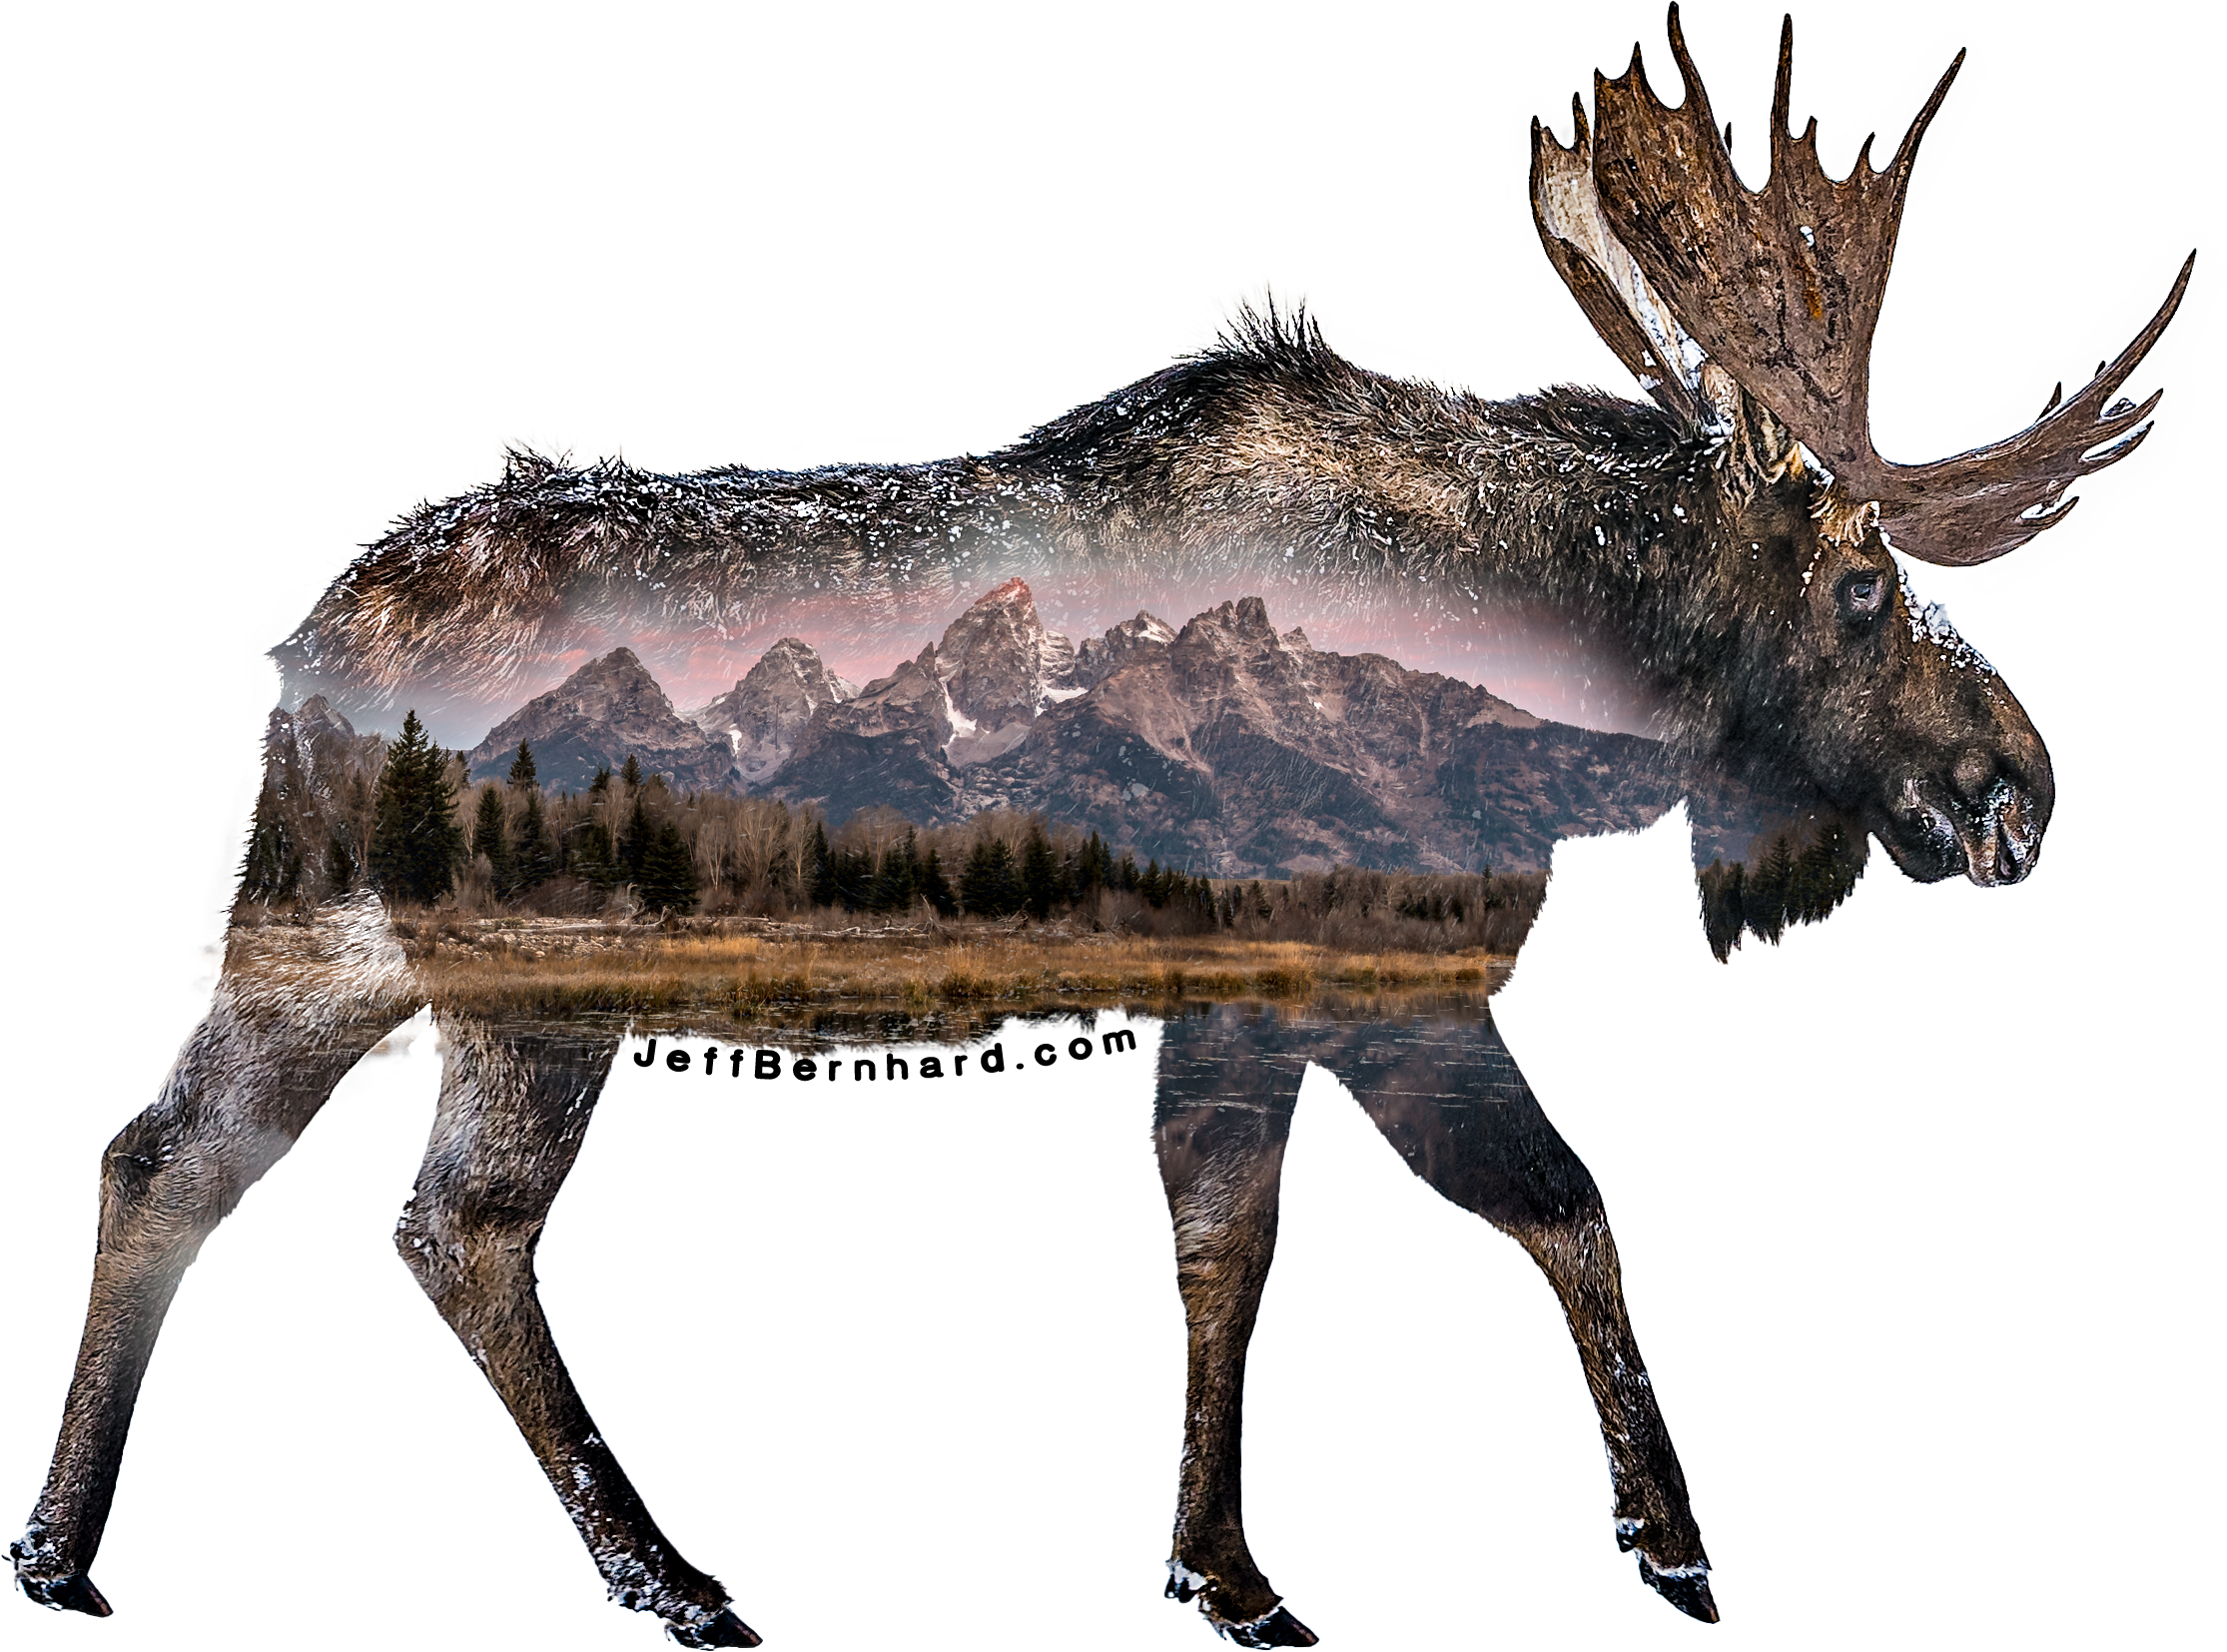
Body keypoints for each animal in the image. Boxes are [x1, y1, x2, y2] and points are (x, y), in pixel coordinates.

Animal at [8, 9, 2193, 1647]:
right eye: (1859, 587)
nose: (2022, 780)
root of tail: (304, 636)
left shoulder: (1263, 1000)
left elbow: (1256, 1232)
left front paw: (1224, 1559)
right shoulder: (1350, 971)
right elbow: (1515, 1202)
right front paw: (1632, 1538)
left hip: (431, 977)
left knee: (309, 1187)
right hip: (411, 953)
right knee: (306, 1188)